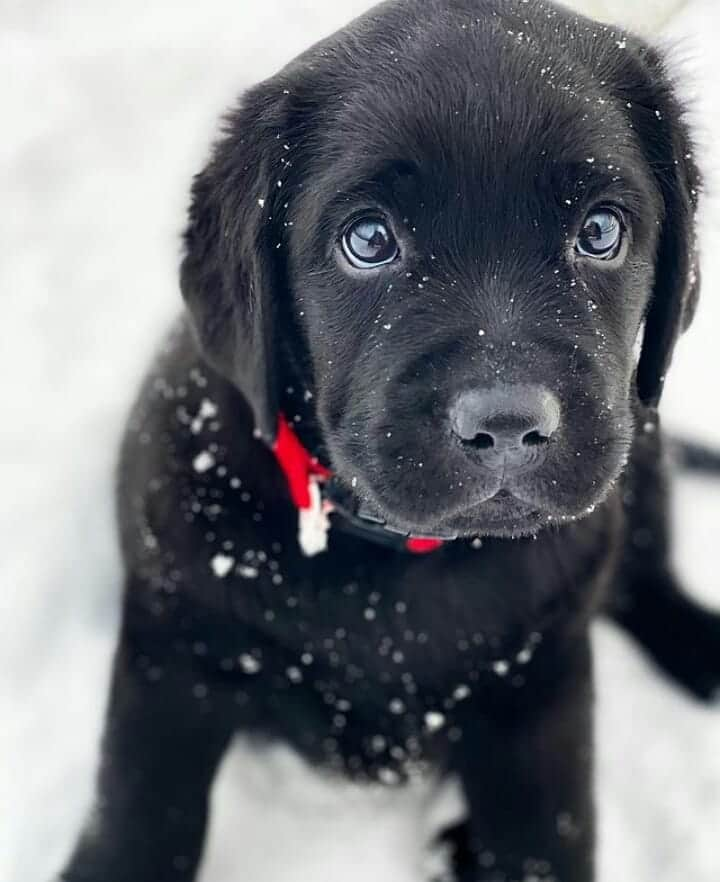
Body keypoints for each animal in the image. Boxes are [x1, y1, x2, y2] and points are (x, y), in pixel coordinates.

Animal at [60, 1, 720, 880]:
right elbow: (141, 809)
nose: (507, 424)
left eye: (601, 231)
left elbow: (546, 836)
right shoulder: (173, 651)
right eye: (368, 241)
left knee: (646, 576)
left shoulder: (541, 686)